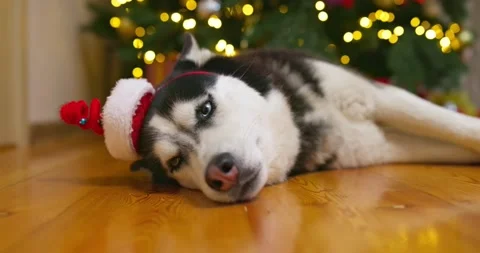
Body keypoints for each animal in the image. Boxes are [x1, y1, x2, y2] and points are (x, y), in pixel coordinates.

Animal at [131, 33, 480, 203]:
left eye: (205, 109)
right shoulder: (383, 145)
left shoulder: (376, 96)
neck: (301, 122)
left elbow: (457, 126)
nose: (220, 174)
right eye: (175, 162)